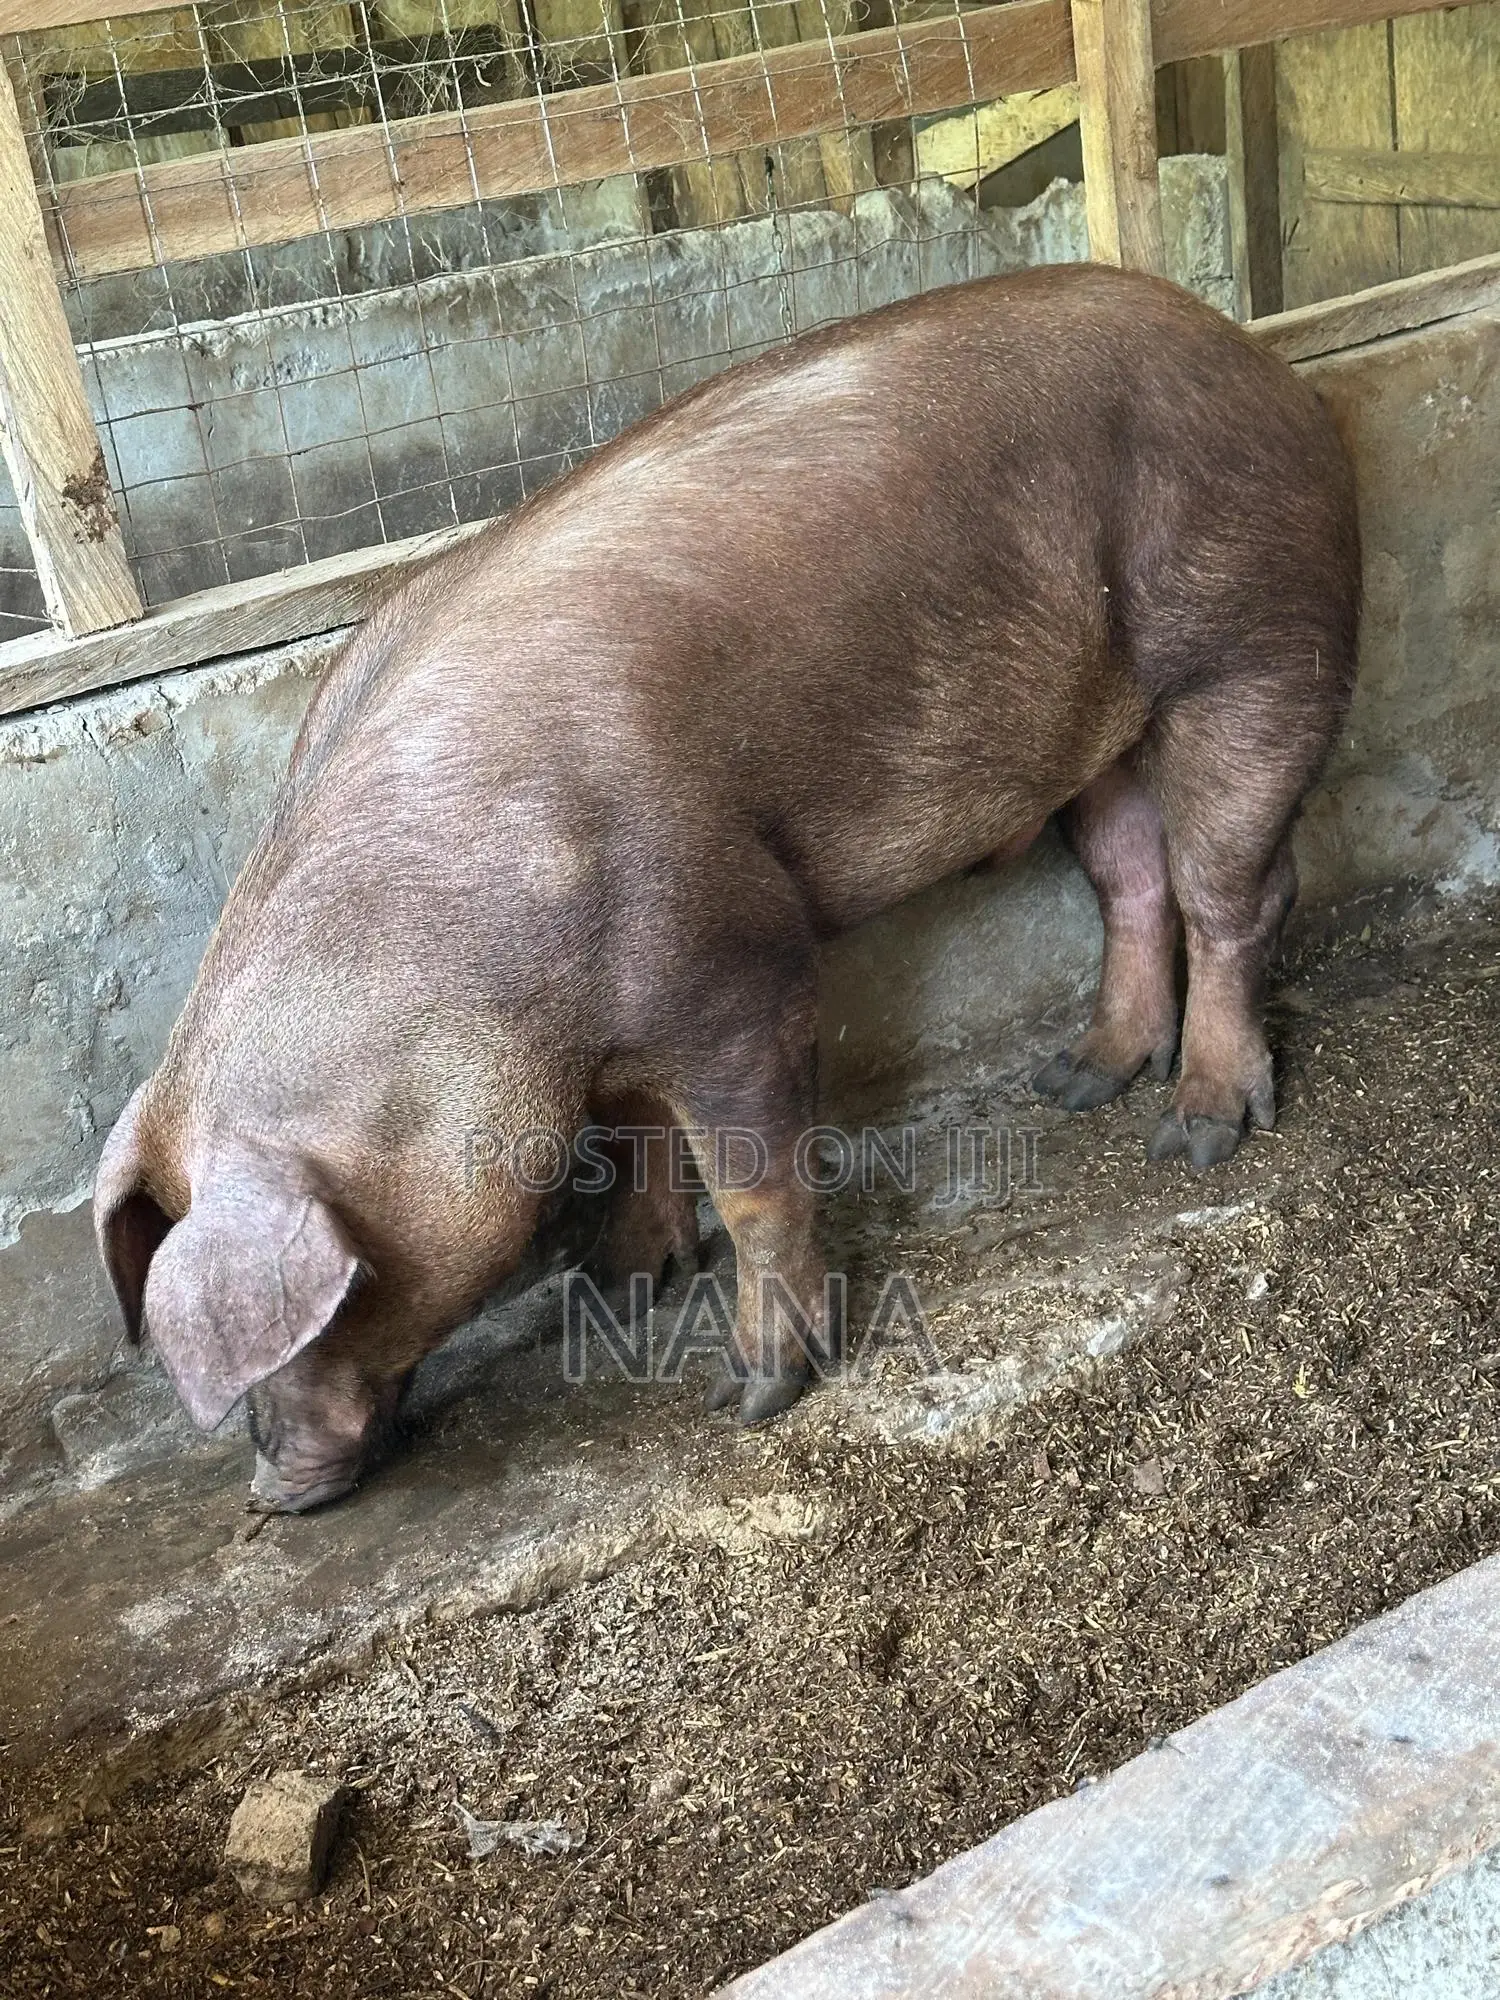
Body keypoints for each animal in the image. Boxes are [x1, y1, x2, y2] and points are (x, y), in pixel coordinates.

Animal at [94, 264, 1360, 1512]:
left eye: (333, 1304)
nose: (268, 1491)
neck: (454, 972)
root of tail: (1255, 356)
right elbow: (638, 1129)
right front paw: (618, 1286)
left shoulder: (736, 965)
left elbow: (753, 1180)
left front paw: (751, 1393)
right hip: (1099, 727)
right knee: (1131, 876)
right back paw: (1077, 1081)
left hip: (1259, 635)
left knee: (1234, 890)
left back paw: (1194, 1135)